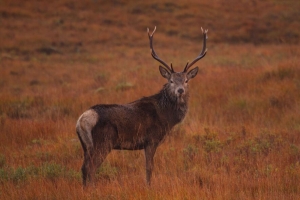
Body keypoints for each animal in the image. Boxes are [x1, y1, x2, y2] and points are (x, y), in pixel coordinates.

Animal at [76, 26, 207, 186]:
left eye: (186, 80)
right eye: (171, 81)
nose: (180, 90)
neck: (166, 117)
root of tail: (82, 120)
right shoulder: (151, 139)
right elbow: (149, 168)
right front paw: (149, 186)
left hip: (86, 146)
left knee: (84, 168)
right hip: (103, 142)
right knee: (91, 168)